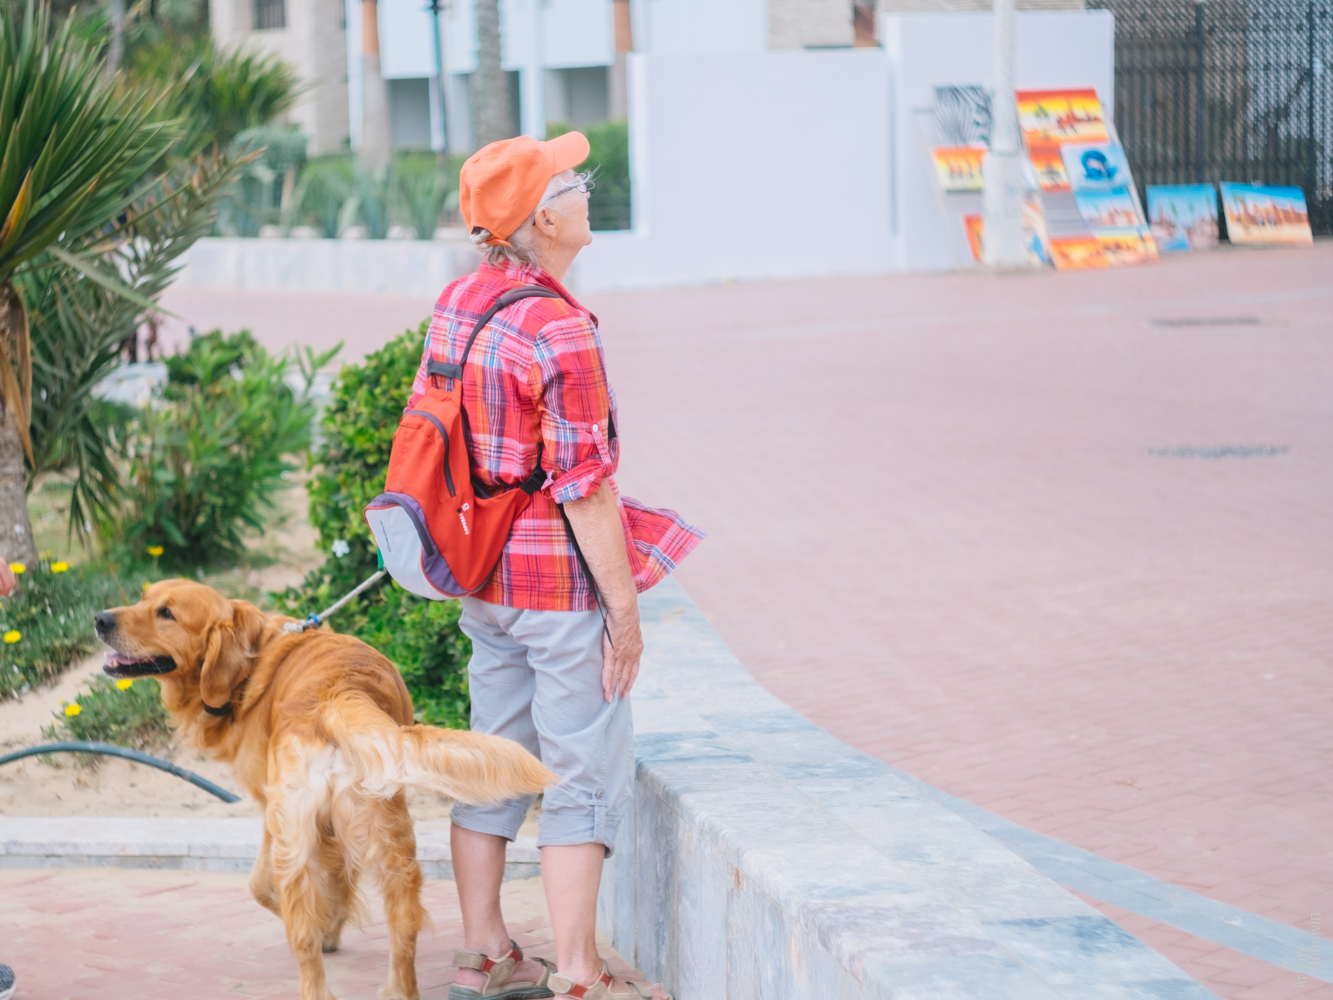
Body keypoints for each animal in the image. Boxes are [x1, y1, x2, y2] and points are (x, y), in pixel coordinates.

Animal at [93, 578, 551, 1000]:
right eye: (143, 597)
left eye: (166, 613)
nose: (100, 619)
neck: (252, 664)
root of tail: (337, 695)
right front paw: (332, 921)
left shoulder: (273, 811)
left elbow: (262, 887)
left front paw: (329, 924)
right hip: (390, 846)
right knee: (401, 932)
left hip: (299, 835)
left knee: (303, 936)